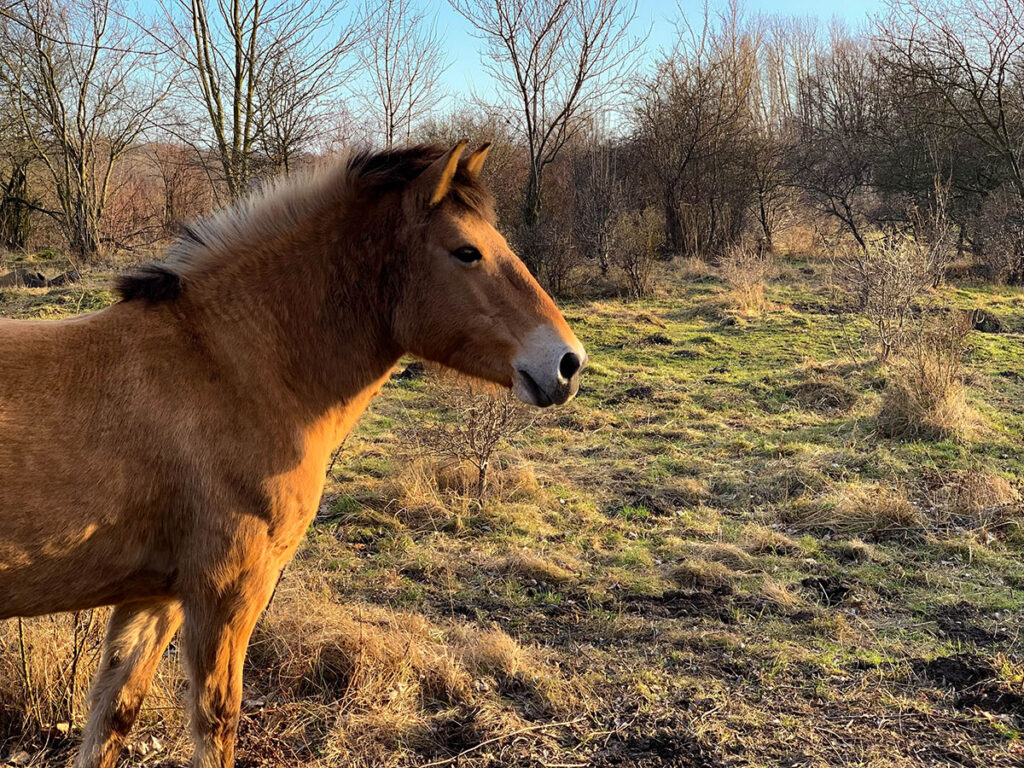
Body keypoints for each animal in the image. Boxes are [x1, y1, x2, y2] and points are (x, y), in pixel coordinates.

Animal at [0, 141, 585, 765]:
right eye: (466, 251)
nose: (567, 362)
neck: (225, 368)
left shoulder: (154, 597)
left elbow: (112, 718)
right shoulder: (226, 593)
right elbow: (216, 723)